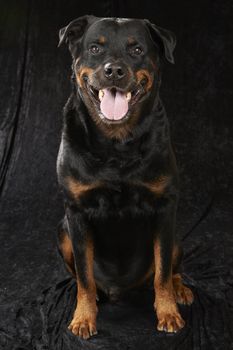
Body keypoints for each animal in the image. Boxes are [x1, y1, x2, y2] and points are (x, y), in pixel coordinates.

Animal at [56, 15, 193, 340]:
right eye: (95, 48)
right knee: (83, 275)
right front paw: (83, 317)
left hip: (175, 236)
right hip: (63, 232)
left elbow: (162, 273)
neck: (116, 143)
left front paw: (168, 312)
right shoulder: (76, 213)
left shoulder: (165, 208)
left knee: (170, 268)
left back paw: (180, 289)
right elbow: (84, 276)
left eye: (136, 49)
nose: (114, 70)